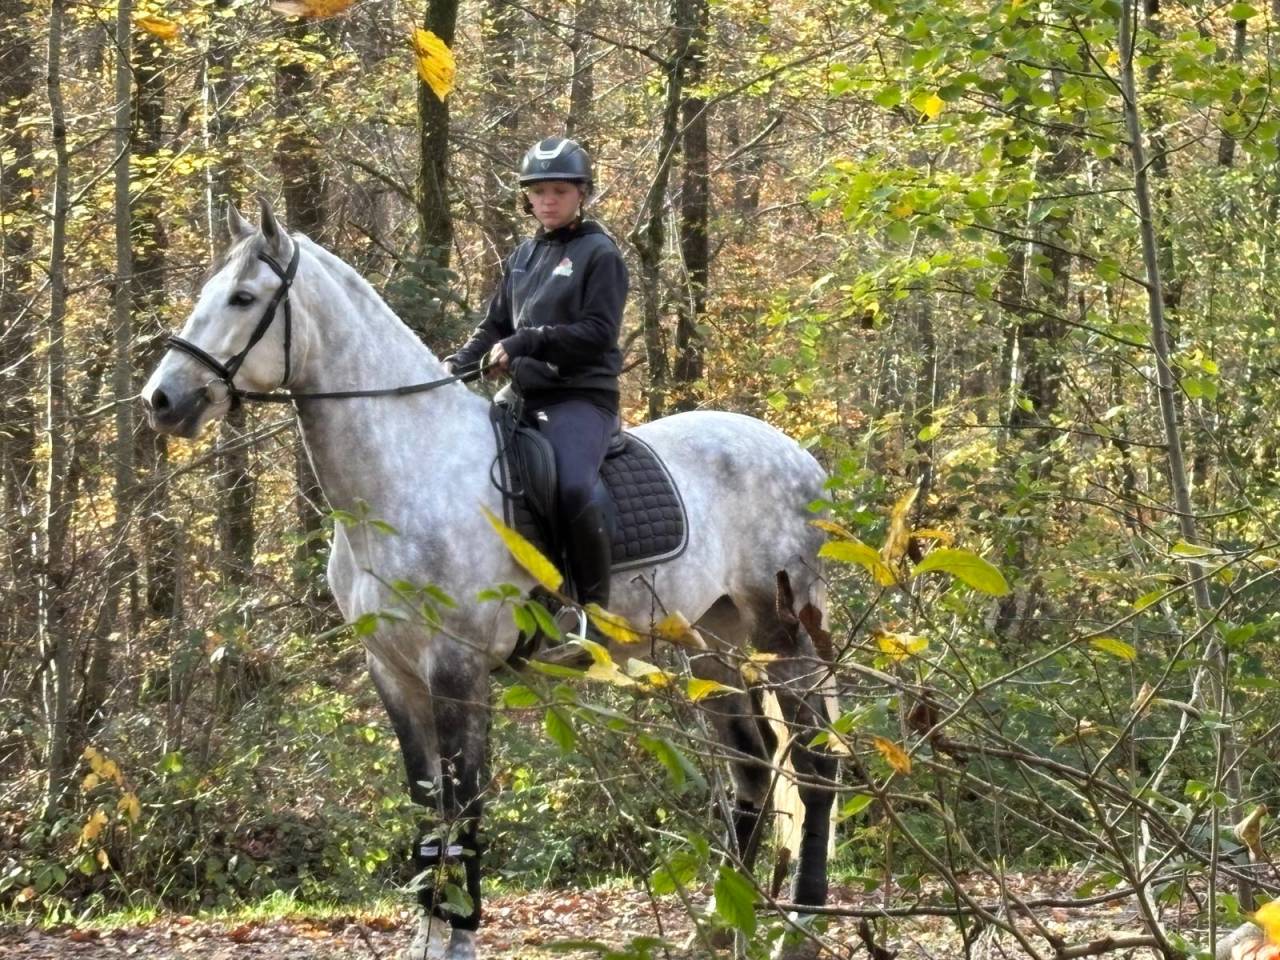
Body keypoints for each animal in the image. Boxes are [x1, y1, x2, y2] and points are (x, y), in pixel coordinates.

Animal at [141, 199, 838, 960]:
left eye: (243, 298)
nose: (162, 400)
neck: (406, 476)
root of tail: (801, 457)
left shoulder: (458, 667)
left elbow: (465, 807)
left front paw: (460, 938)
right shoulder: (393, 671)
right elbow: (429, 811)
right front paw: (426, 939)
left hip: (784, 637)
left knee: (814, 769)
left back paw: (801, 926)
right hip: (712, 646)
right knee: (752, 770)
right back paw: (716, 927)